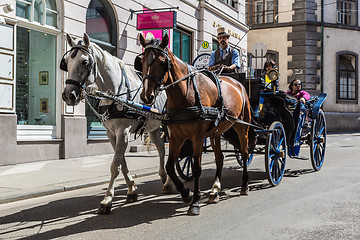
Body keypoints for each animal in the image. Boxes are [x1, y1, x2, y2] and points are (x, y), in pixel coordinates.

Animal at [61, 33, 172, 214]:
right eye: (66, 63)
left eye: (84, 61)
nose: (68, 95)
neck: (115, 93)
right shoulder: (111, 133)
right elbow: (122, 162)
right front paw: (132, 189)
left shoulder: (123, 131)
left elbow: (115, 165)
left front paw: (107, 200)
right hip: (154, 127)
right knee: (161, 148)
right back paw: (164, 176)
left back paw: (170, 180)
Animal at [139, 34, 256, 216]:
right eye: (142, 60)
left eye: (161, 62)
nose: (146, 95)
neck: (185, 94)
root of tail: (239, 84)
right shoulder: (176, 137)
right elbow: (170, 166)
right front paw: (186, 193)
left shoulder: (198, 136)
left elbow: (197, 168)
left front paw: (194, 202)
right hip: (216, 132)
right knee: (220, 158)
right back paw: (215, 190)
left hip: (242, 126)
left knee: (244, 153)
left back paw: (244, 185)